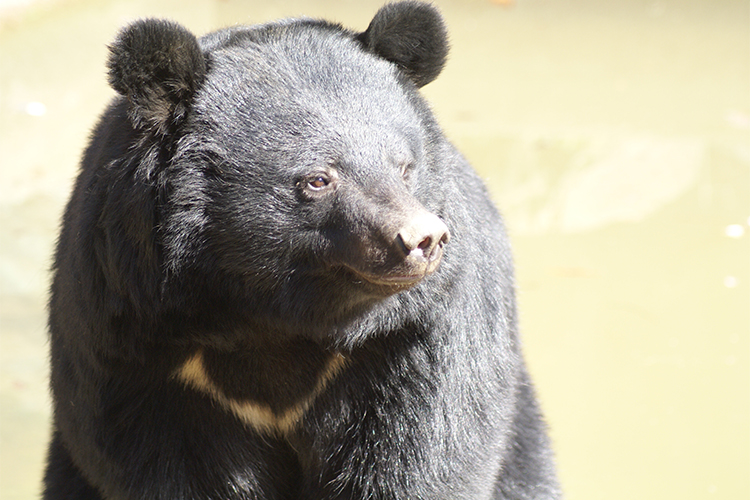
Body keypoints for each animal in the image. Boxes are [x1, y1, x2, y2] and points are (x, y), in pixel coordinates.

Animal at [42, 1, 560, 498]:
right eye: (318, 179)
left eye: (405, 167)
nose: (421, 238)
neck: (272, 313)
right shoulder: (133, 333)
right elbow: (168, 463)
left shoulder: (416, 332)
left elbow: (425, 451)